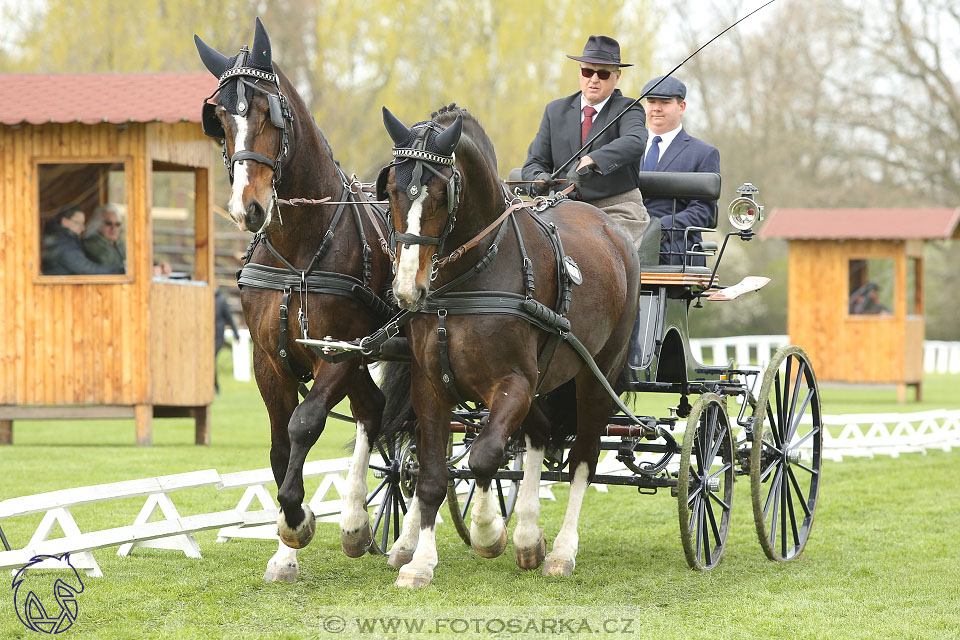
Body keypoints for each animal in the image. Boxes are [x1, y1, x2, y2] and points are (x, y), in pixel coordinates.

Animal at [194, 18, 394, 580]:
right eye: (220, 118)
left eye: (269, 112)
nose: (249, 208)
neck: (301, 249)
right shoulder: (269, 360)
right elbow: (280, 446)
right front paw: (286, 542)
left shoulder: (338, 352)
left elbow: (305, 424)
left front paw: (302, 521)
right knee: (375, 408)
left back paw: (372, 527)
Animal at [378, 106, 640, 592]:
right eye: (390, 190)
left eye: (442, 193)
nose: (407, 289)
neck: (470, 276)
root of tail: (611, 230)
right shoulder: (431, 387)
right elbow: (432, 476)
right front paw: (420, 564)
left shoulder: (513, 382)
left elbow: (484, 456)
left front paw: (487, 532)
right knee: (538, 435)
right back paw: (528, 537)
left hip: (596, 376)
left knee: (582, 457)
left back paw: (560, 552)